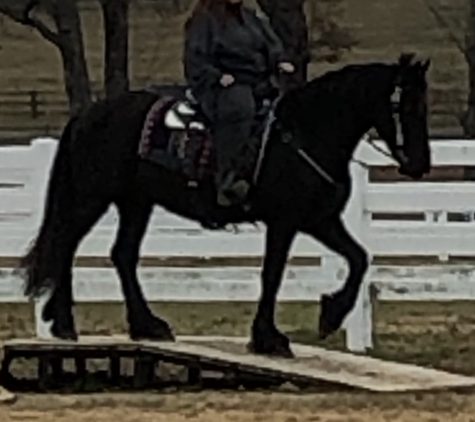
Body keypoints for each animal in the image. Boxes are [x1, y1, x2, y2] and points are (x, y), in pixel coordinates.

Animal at [17, 52, 432, 356]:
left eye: (422, 106)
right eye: (405, 107)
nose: (420, 164)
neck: (305, 134)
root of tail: (89, 113)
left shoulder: (320, 219)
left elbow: (359, 257)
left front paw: (330, 315)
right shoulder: (285, 221)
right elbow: (272, 274)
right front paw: (269, 338)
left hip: (136, 202)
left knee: (121, 254)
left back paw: (147, 325)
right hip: (92, 197)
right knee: (65, 245)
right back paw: (64, 322)